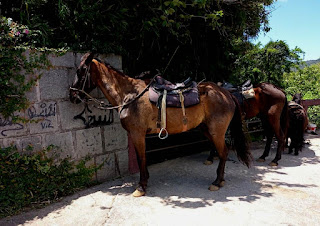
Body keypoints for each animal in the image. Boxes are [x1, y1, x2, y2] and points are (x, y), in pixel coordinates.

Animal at [70, 53, 252, 196]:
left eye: (80, 71)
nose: (72, 95)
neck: (130, 95)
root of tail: (226, 93)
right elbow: (141, 157)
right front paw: (145, 180)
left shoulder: (137, 134)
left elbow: (141, 158)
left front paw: (141, 187)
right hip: (206, 129)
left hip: (216, 131)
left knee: (224, 152)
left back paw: (217, 182)